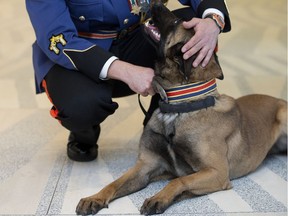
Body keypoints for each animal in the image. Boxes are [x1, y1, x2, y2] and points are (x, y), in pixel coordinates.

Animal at [75, 0, 286, 215]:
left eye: (177, 21)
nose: (156, 4)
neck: (178, 107)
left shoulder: (216, 172)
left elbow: (179, 181)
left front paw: (158, 198)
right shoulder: (146, 166)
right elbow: (115, 183)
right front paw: (95, 198)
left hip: (283, 113)